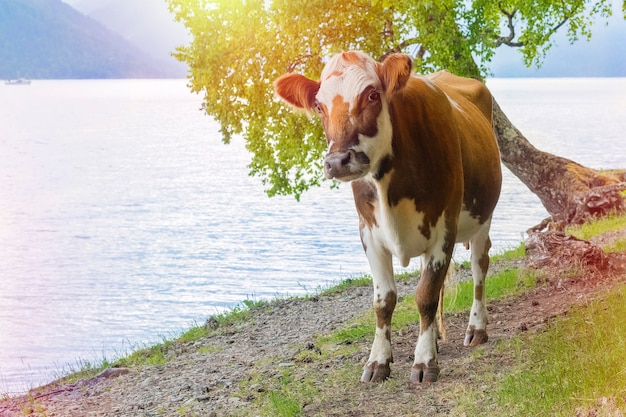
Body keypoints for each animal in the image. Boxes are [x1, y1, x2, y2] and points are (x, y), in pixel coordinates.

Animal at [272, 52, 502, 384]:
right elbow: (385, 300)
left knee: (479, 266)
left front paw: (424, 362)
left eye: (371, 95)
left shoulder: (444, 227)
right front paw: (378, 361)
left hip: (484, 215)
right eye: (319, 106)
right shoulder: (369, 234)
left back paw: (476, 328)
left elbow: (426, 295)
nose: (337, 161)